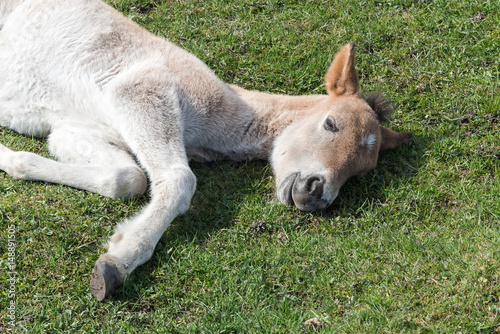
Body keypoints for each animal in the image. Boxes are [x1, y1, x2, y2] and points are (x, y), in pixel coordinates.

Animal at [0, 0, 410, 298]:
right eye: (330, 123)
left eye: (362, 170)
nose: (316, 193)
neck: (212, 128)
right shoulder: (140, 90)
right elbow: (178, 180)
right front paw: (117, 264)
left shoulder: (73, 128)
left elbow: (126, 178)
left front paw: (10, 158)